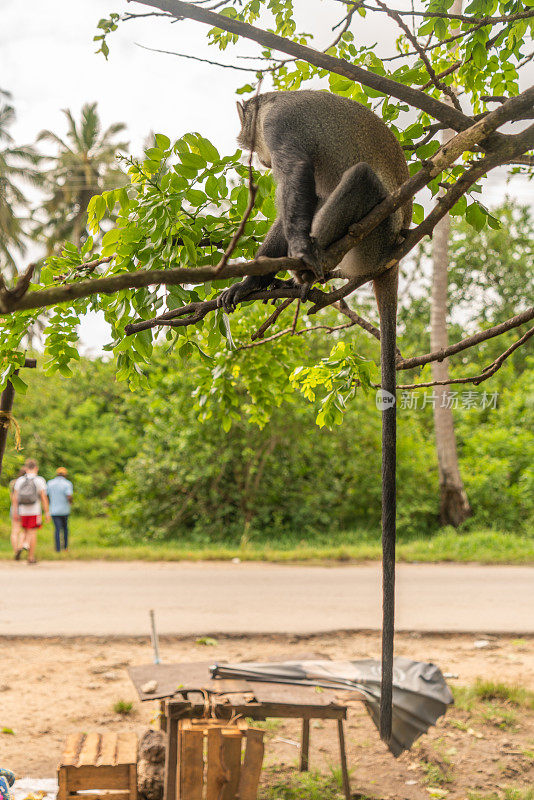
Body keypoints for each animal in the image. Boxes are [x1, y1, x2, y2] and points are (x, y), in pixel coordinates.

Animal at [218, 89, 414, 744]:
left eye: (245, 124)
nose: (240, 141)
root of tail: (390, 259)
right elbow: (284, 209)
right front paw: (250, 278)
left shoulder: (282, 127)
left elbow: (296, 183)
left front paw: (291, 255)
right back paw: (276, 278)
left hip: (372, 237)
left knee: (357, 184)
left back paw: (308, 266)